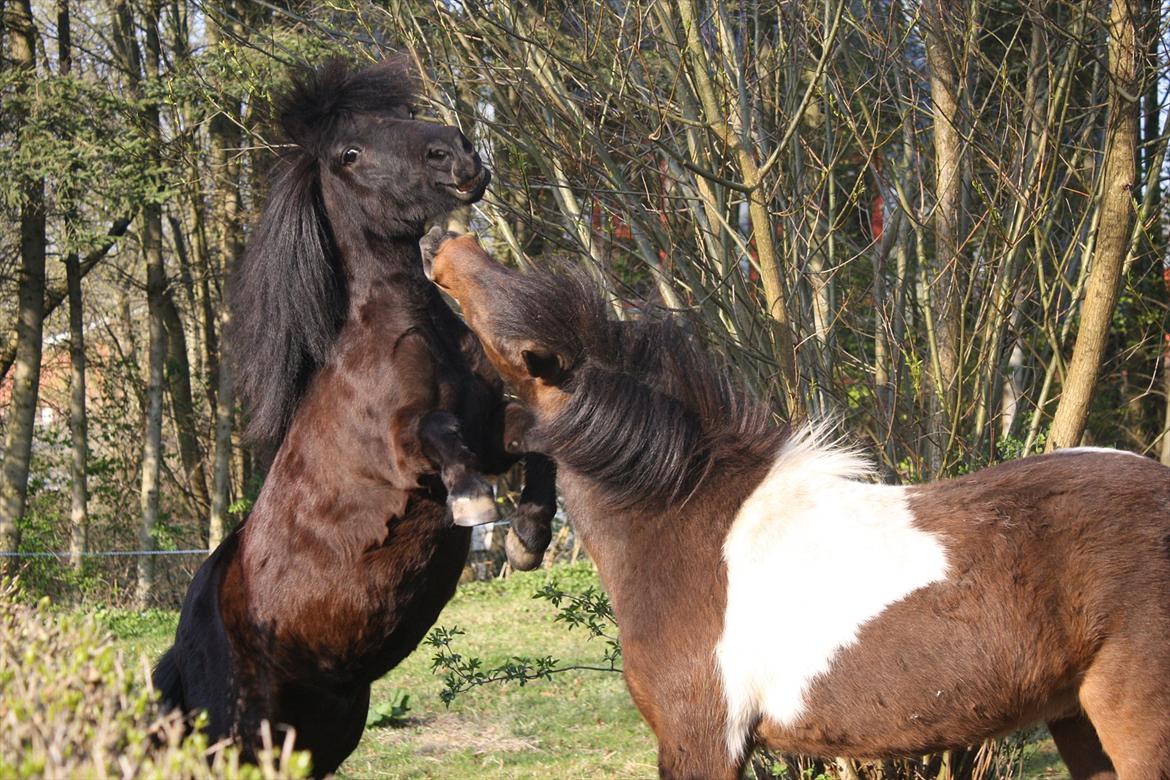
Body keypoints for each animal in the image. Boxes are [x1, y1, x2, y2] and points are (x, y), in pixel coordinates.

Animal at [153, 57, 554, 776]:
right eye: (350, 154)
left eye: (402, 115)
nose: (458, 153)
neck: (411, 332)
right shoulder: (403, 455)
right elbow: (441, 437)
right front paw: (476, 507)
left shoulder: (489, 435)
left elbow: (537, 442)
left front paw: (528, 539)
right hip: (239, 741)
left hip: (320, 732)